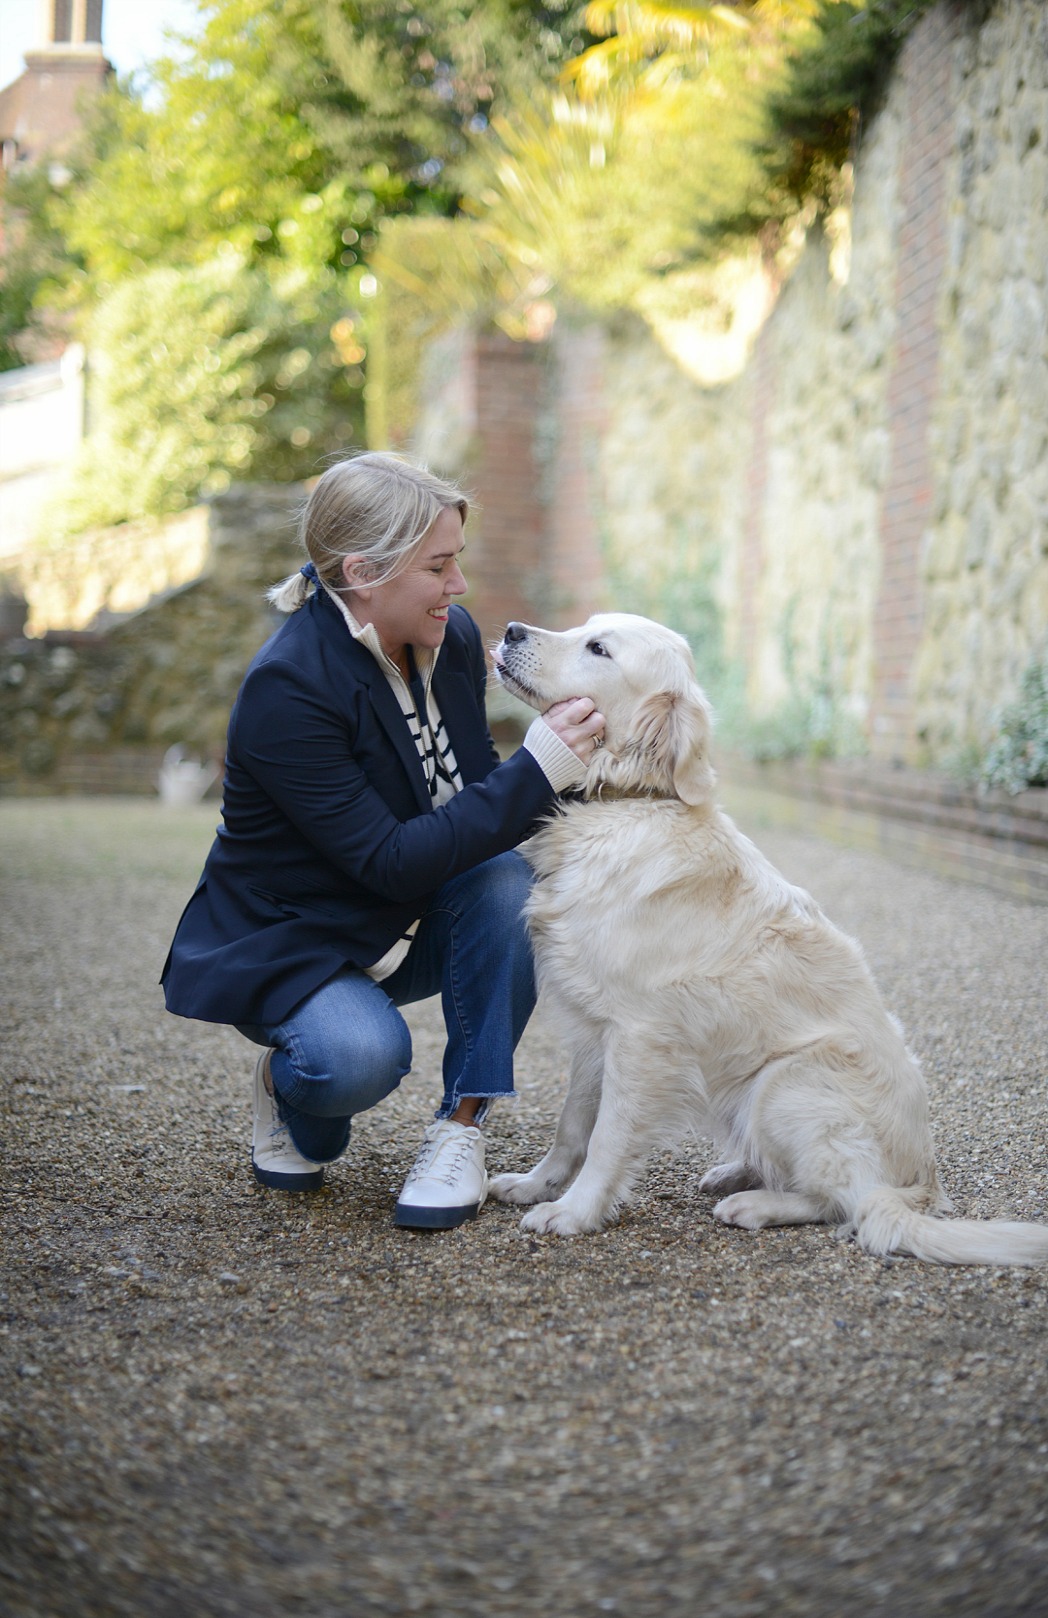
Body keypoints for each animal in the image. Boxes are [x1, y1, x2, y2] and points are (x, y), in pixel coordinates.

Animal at [491, 608, 1048, 1262]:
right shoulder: (591, 1029)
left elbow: (606, 1136)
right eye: (583, 626)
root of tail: (922, 1186)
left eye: (598, 648)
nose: (510, 630)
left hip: (785, 1082)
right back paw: (735, 1172)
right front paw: (536, 1184)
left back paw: (755, 1204)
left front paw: (575, 1212)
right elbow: (572, 1124)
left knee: (847, 1202)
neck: (628, 804)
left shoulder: (640, 1035)